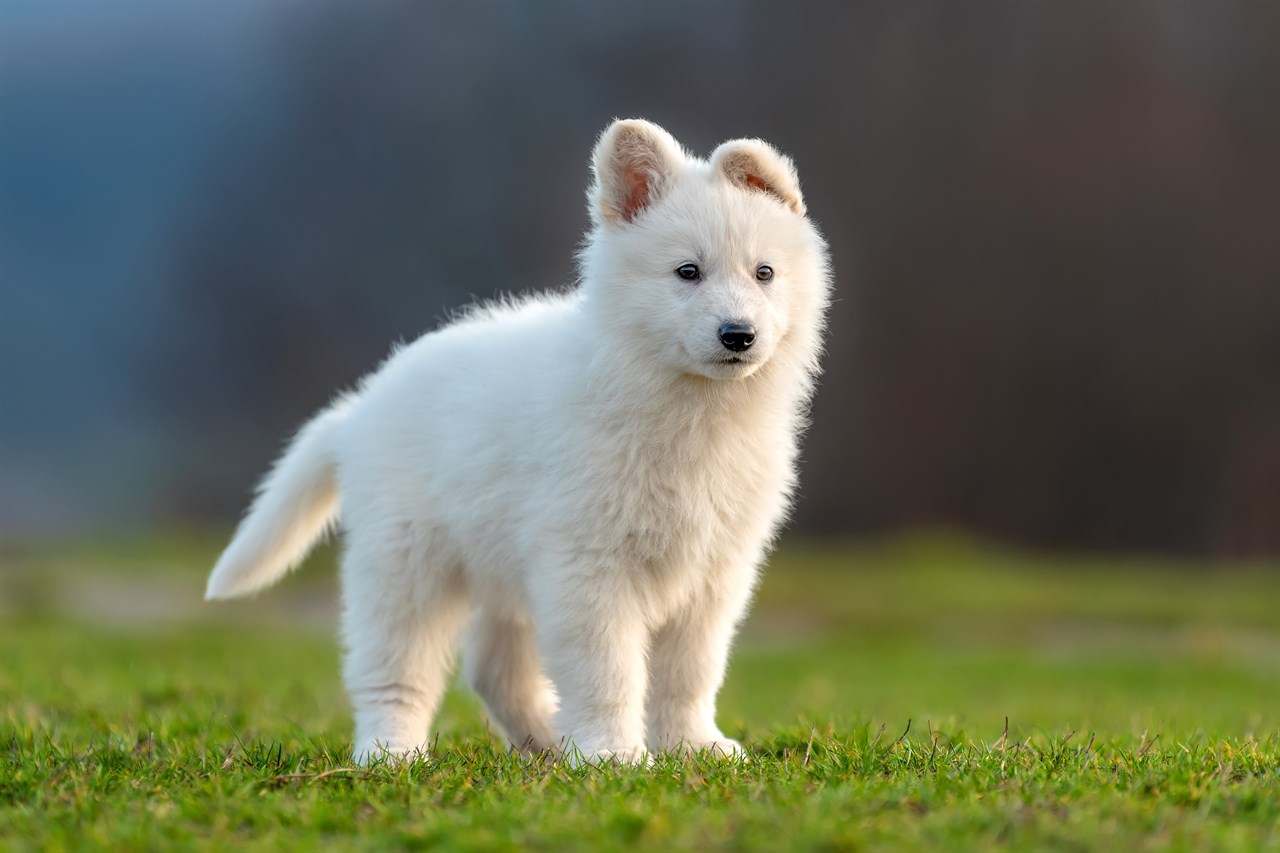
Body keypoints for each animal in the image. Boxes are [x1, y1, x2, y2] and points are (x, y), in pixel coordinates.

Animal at [204, 117, 834, 758]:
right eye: (688, 272)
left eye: (764, 272)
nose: (739, 334)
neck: (685, 409)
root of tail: (357, 411)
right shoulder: (587, 566)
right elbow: (608, 669)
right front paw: (612, 754)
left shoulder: (713, 572)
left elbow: (690, 672)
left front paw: (692, 747)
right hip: (406, 565)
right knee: (393, 672)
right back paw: (391, 753)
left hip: (500, 571)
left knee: (493, 671)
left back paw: (548, 744)